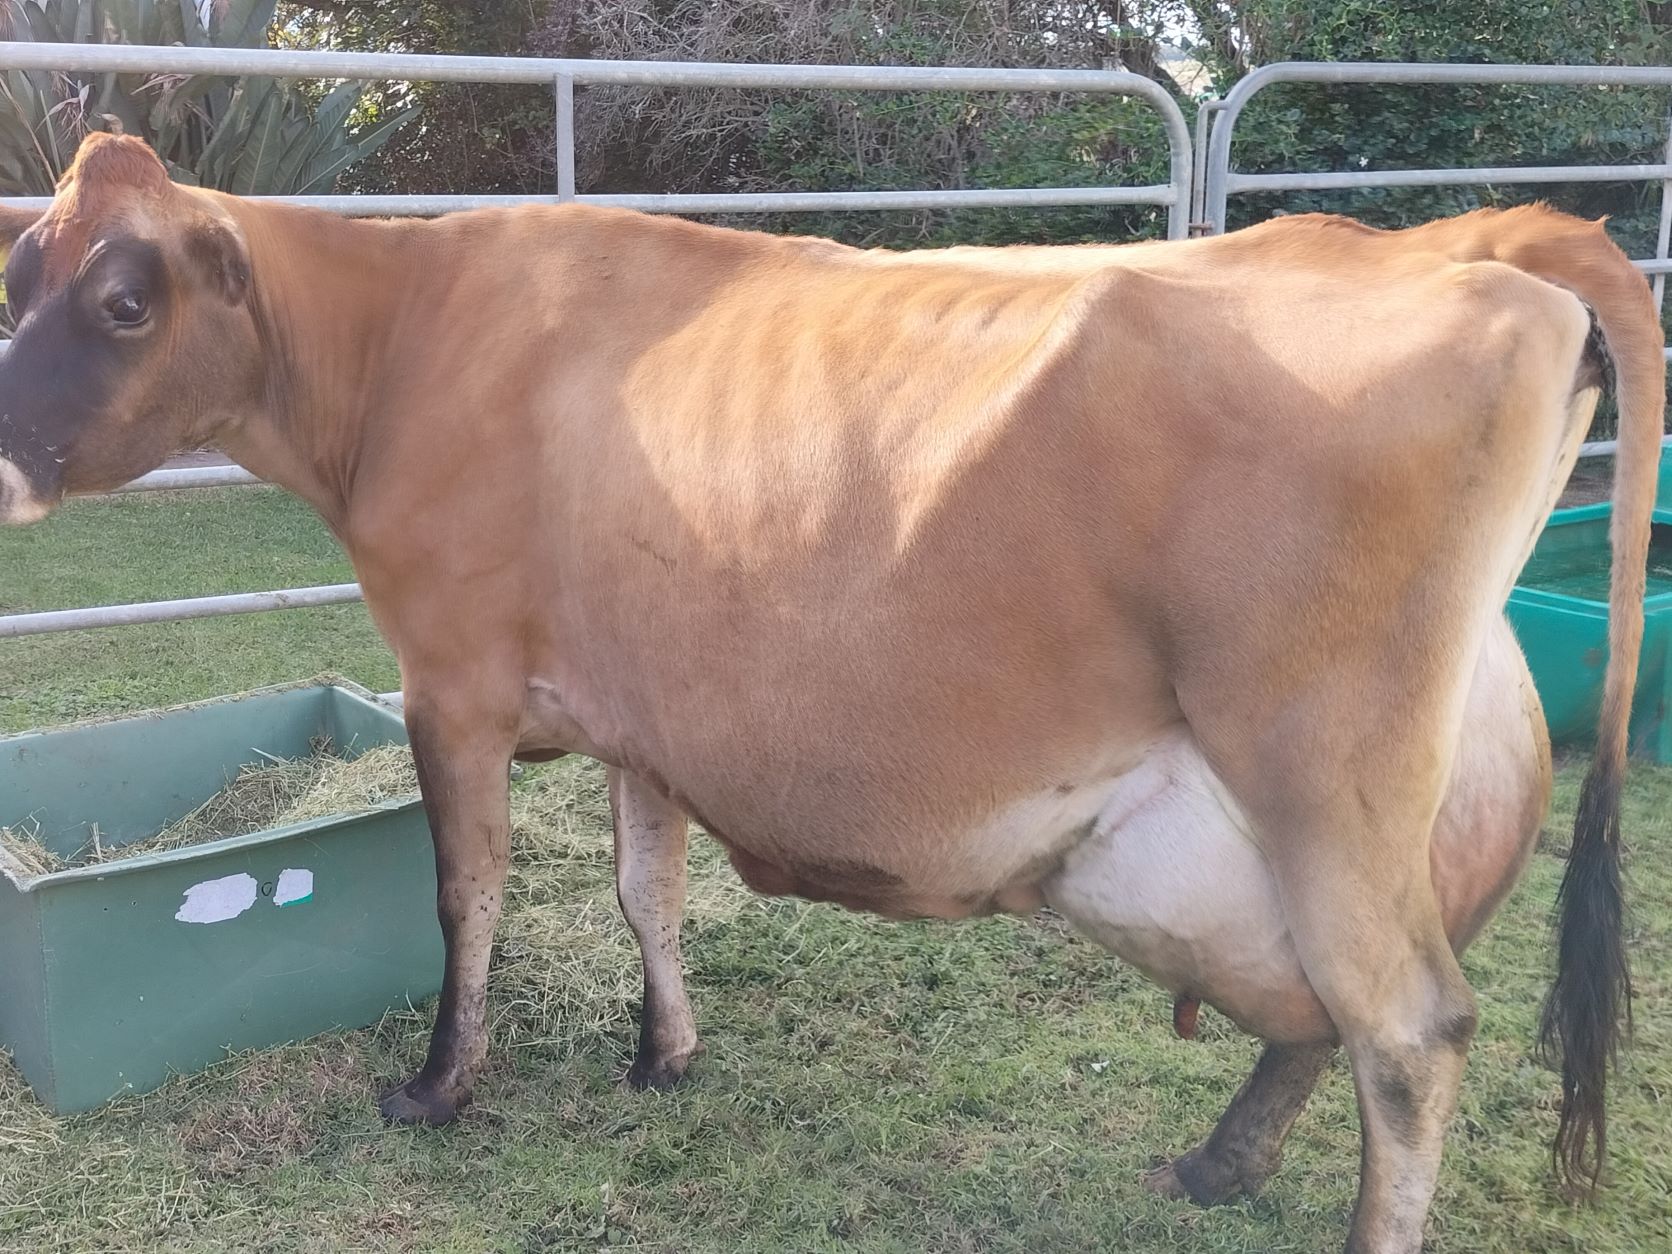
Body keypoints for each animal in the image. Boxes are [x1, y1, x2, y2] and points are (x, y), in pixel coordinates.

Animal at [0, 132, 1658, 1250]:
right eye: (23, 273)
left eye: (126, 298)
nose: (5, 447)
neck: (410, 335)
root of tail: (1466, 239)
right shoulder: (640, 710)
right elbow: (643, 886)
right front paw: (664, 1053)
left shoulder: (451, 680)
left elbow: (468, 894)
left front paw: (439, 1086)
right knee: (1333, 1007)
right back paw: (1216, 1162)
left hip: (1322, 769)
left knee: (1409, 1028)